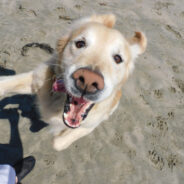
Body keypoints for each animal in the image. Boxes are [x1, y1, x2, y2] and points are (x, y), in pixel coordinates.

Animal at [0, 14, 147, 150]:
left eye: (118, 58)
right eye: (80, 44)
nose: (88, 80)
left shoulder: (89, 126)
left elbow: (57, 142)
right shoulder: (38, 78)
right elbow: (5, 84)